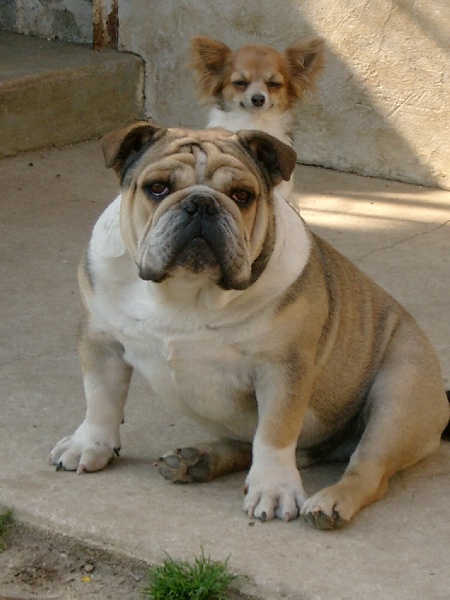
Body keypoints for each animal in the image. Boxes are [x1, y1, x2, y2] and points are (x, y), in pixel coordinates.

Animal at [49, 122, 450, 529]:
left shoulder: (283, 368)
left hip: (399, 397)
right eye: (157, 188)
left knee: (366, 470)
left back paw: (329, 501)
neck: (188, 292)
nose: (202, 203)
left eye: (242, 195)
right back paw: (198, 460)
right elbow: (100, 399)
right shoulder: (101, 341)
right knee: (259, 445)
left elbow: (274, 434)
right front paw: (90, 445)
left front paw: (273, 489)